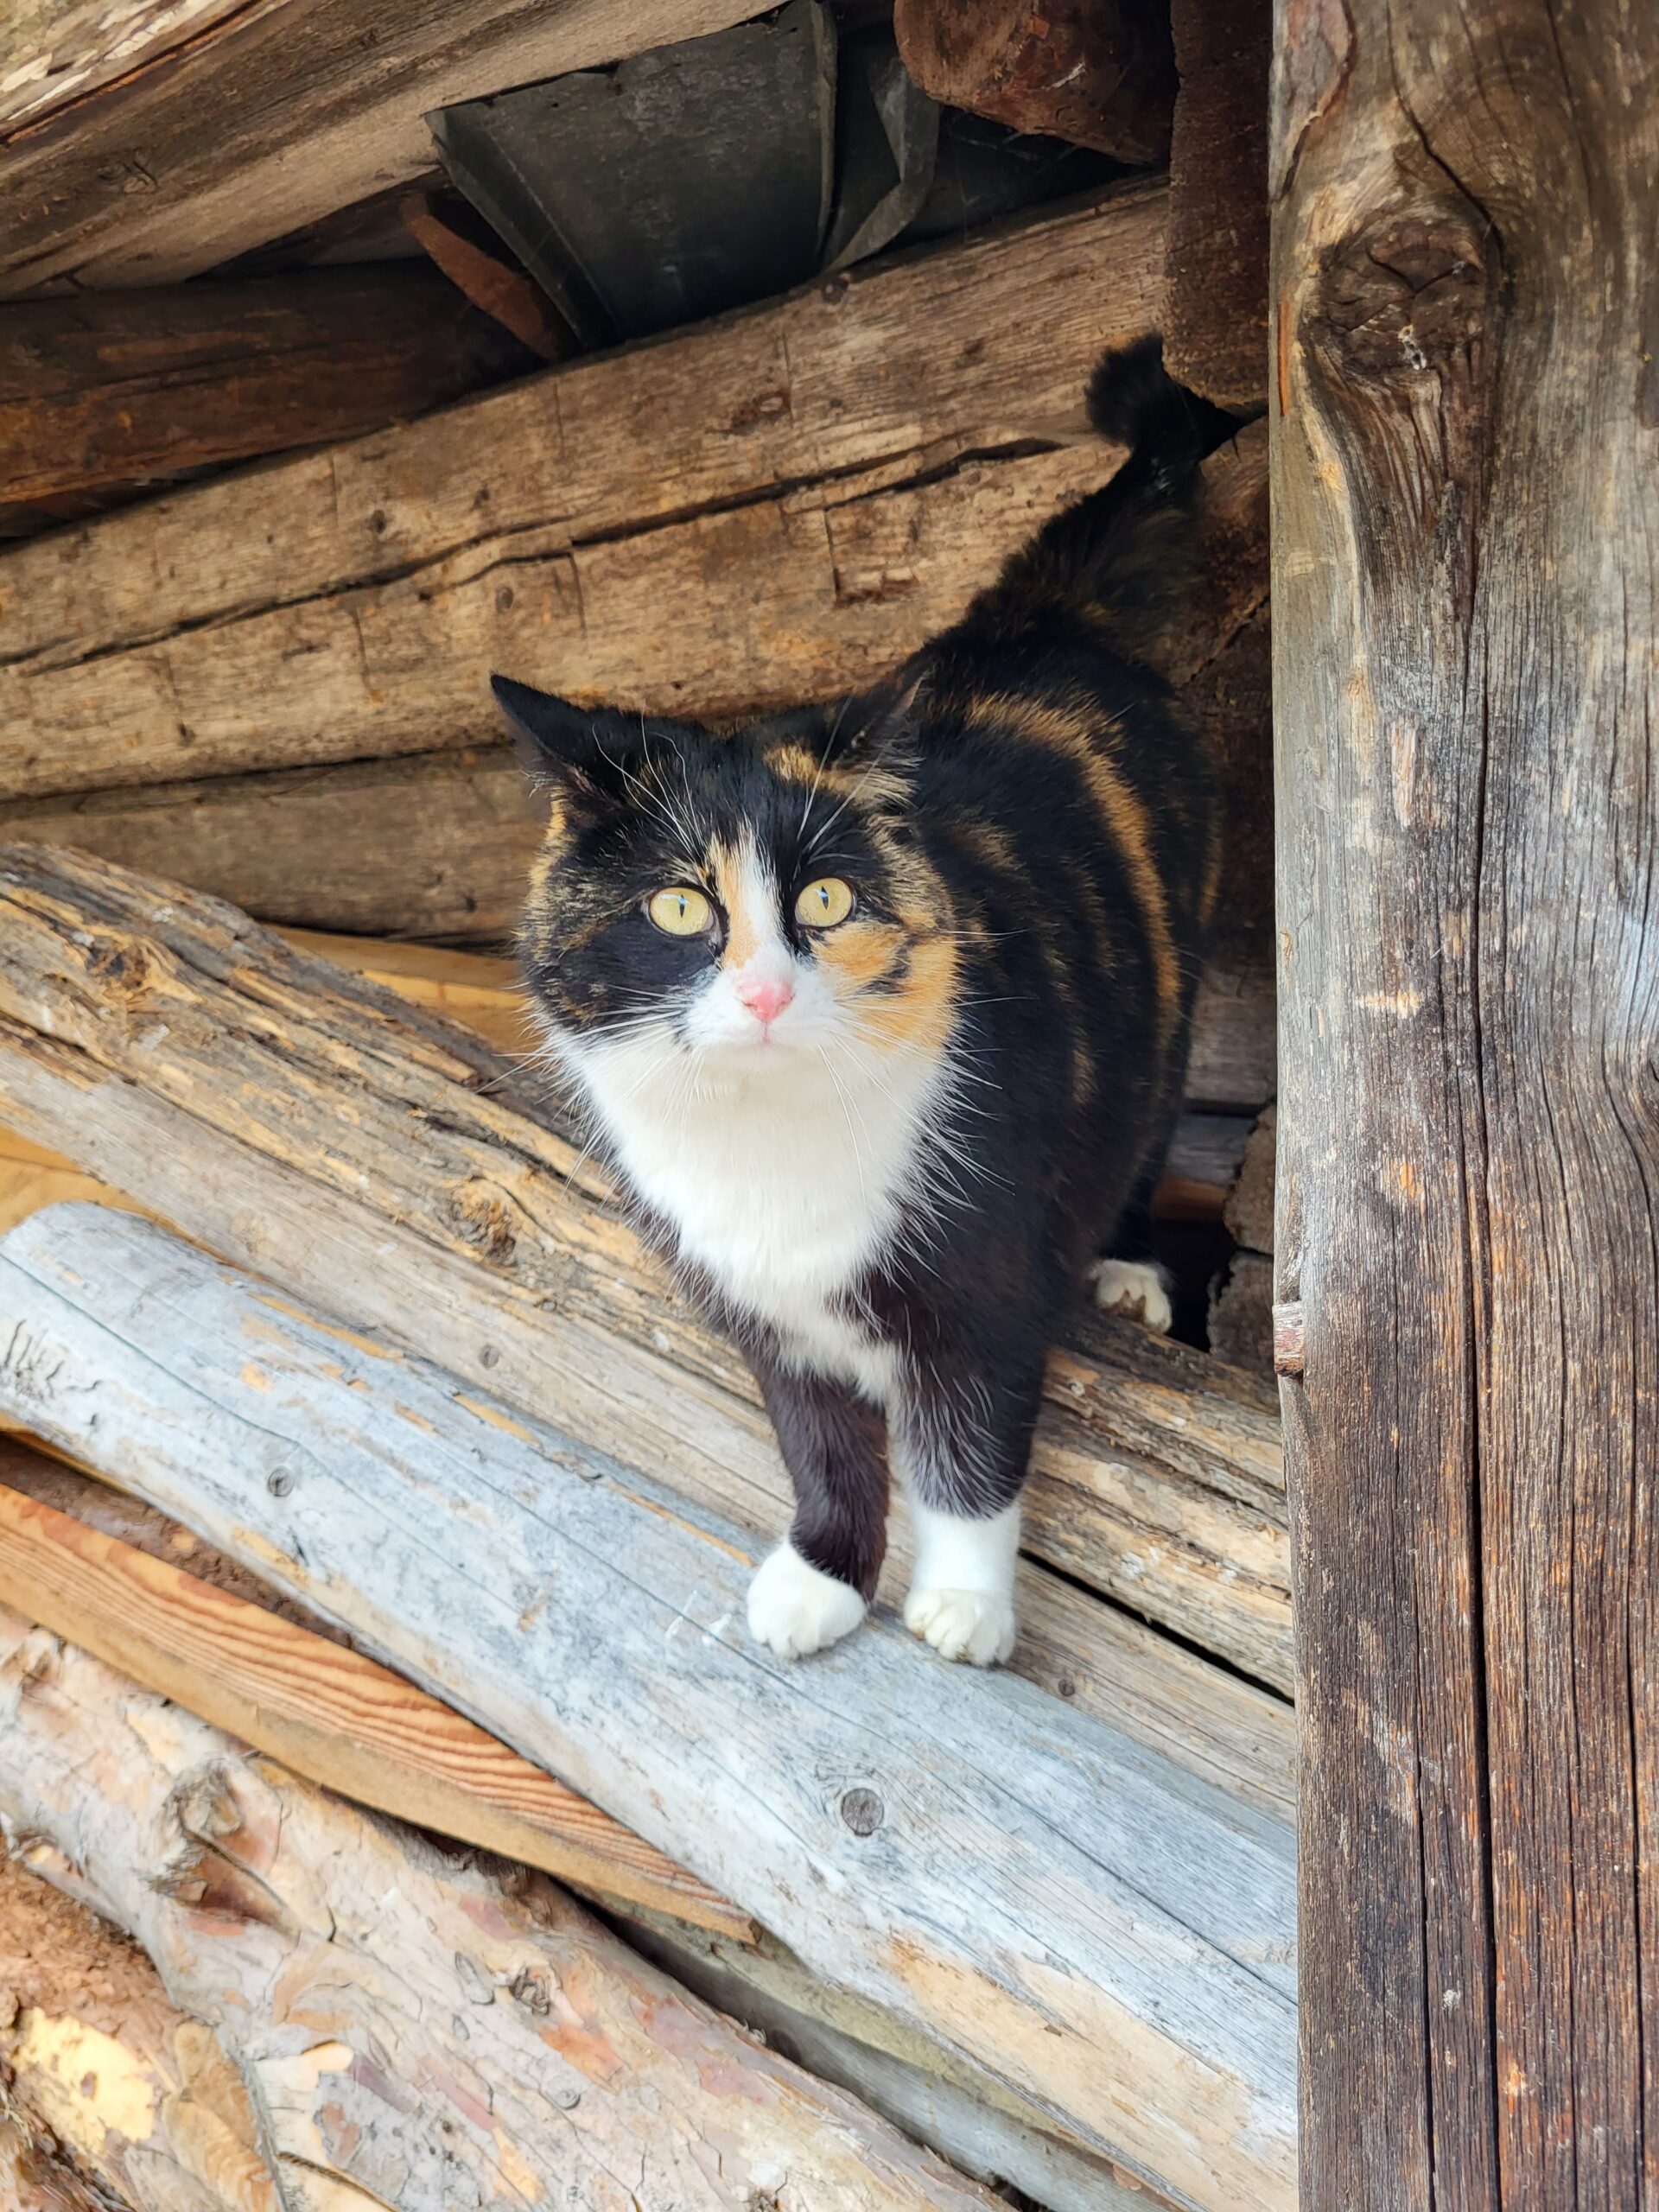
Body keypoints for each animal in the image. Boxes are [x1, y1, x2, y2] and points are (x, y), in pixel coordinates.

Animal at [493, 336, 1238, 1663]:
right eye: (677, 907)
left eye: (828, 900)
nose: (765, 992)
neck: (766, 1155)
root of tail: (1053, 615)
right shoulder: (765, 1322)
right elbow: (820, 1442)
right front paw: (822, 1580)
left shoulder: (983, 1281)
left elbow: (968, 1453)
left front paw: (963, 1610)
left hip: (1177, 986)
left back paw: (1133, 1269)